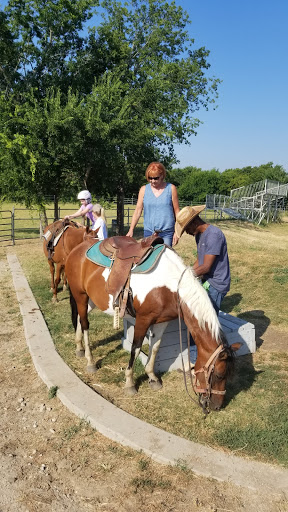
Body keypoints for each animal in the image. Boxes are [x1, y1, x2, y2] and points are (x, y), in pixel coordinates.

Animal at [65, 237, 241, 412]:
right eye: (219, 375)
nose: (217, 406)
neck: (171, 286)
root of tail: (77, 248)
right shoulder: (143, 320)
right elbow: (135, 349)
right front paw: (130, 383)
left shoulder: (161, 322)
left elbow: (155, 348)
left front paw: (152, 378)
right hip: (80, 295)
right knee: (85, 323)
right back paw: (90, 361)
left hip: (91, 300)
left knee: (80, 318)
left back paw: (79, 348)